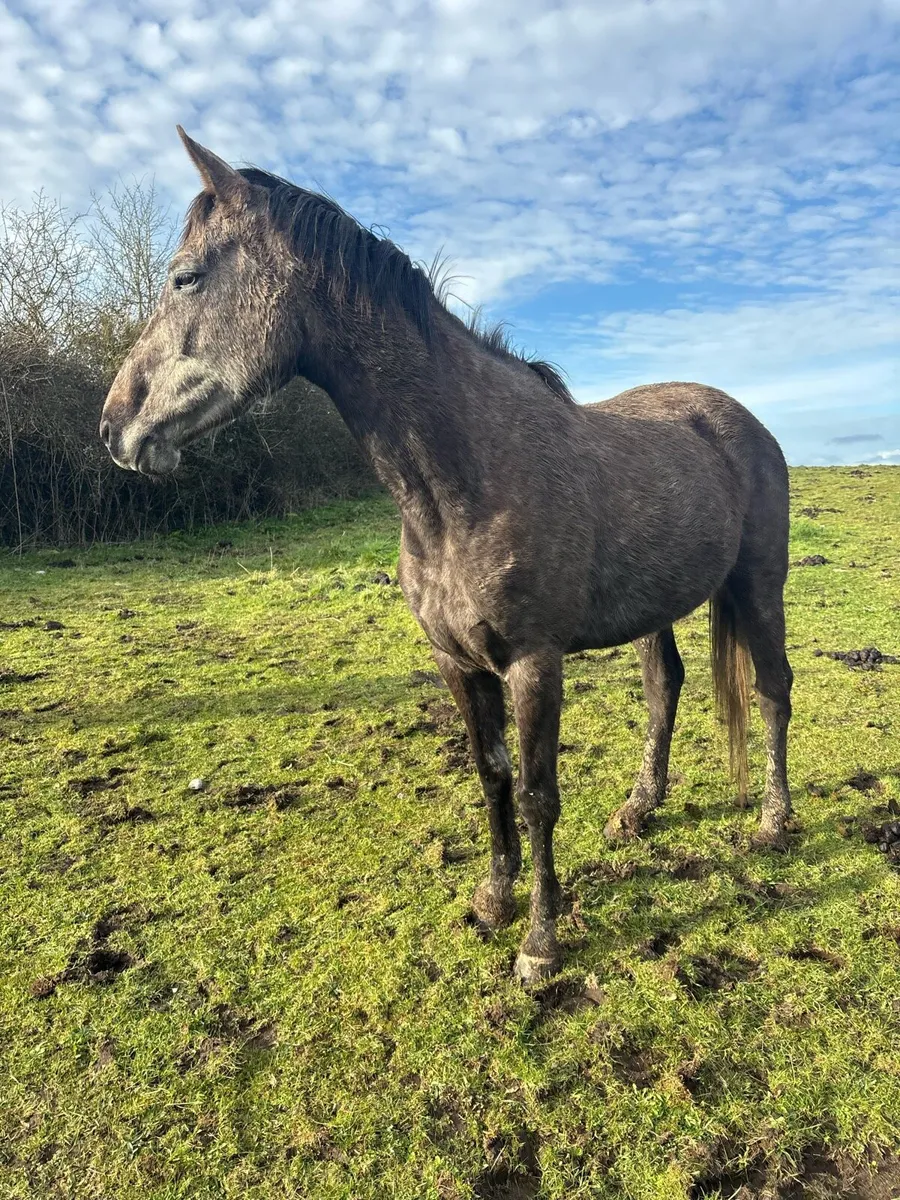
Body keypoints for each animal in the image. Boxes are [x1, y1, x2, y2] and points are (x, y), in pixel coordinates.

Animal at [100, 128, 793, 982]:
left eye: (186, 277)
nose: (115, 428)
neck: (466, 481)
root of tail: (739, 421)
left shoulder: (534, 663)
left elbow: (537, 795)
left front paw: (540, 942)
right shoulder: (456, 662)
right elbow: (492, 777)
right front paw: (494, 901)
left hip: (760, 583)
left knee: (771, 689)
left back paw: (773, 820)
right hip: (655, 607)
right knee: (665, 689)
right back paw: (638, 810)